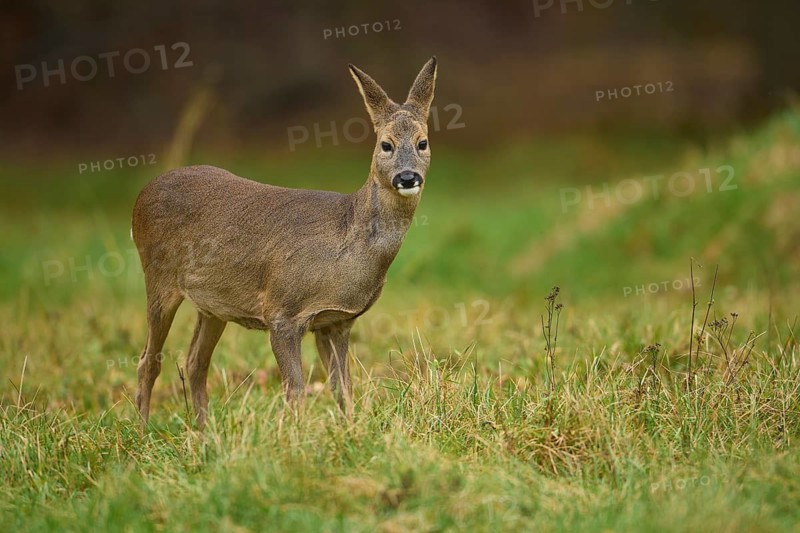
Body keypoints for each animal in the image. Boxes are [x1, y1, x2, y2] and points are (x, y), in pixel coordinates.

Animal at [132, 57, 437, 427]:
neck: (348, 243)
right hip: (158, 278)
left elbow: (342, 388)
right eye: (386, 144)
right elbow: (296, 390)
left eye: (422, 142)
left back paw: (204, 433)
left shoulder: (336, 322)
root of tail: (143, 193)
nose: (407, 177)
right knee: (148, 360)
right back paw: (143, 432)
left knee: (194, 362)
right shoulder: (282, 313)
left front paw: (350, 431)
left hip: (212, 304)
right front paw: (295, 435)